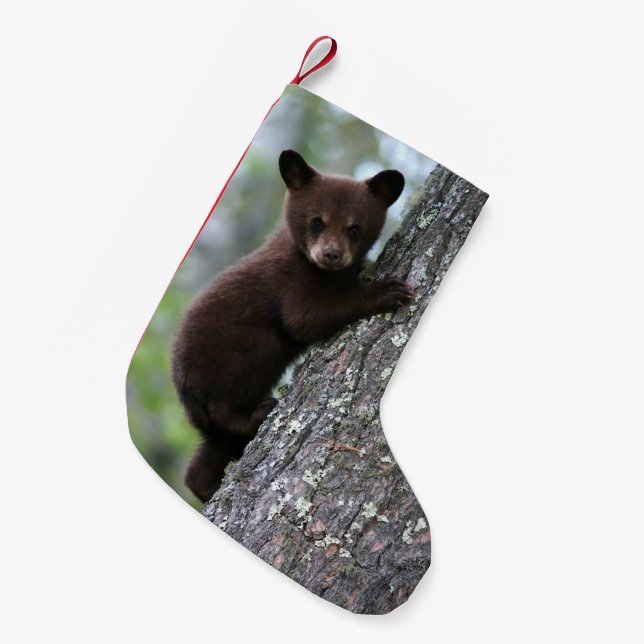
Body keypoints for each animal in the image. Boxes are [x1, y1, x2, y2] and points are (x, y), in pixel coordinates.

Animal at [171, 150, 413, 503]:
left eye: (355, 227)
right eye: (317, 220)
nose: (331, 254)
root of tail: (185, 394)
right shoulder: (290, 281)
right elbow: (305, 317)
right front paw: (386, 291)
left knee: (211, 452)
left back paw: (203, 485)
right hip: (237, 353)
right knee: (228, 404)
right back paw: (256, 413)